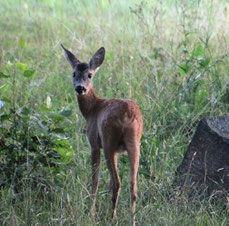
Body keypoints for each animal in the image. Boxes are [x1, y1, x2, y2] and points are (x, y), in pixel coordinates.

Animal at [60, 44, 143, 224]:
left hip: (108, 140)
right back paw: (131, 220)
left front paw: (90, 213)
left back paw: (112, 217)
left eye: (90, 75)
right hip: (134, 143)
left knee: (117, 182)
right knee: (133, 185)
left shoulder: (93, 142)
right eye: (73, 73)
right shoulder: (119, 151)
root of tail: (128, 113)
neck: (92, 110)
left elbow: (95, 179)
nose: (80, 88)